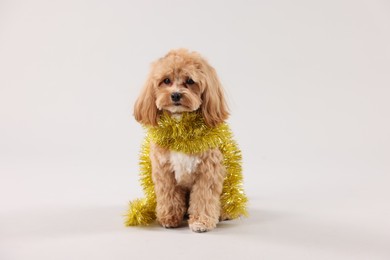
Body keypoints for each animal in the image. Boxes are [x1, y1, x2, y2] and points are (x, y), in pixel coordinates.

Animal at [133, 48, 245, 232]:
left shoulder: (208, 172)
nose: (176, 95)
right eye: (166, 80)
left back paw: (224, 213)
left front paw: (201, 222)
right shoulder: (164, 172)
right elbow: (169, 196)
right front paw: (169, 218)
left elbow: (203, 198)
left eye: (190, 81)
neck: (181, 129)